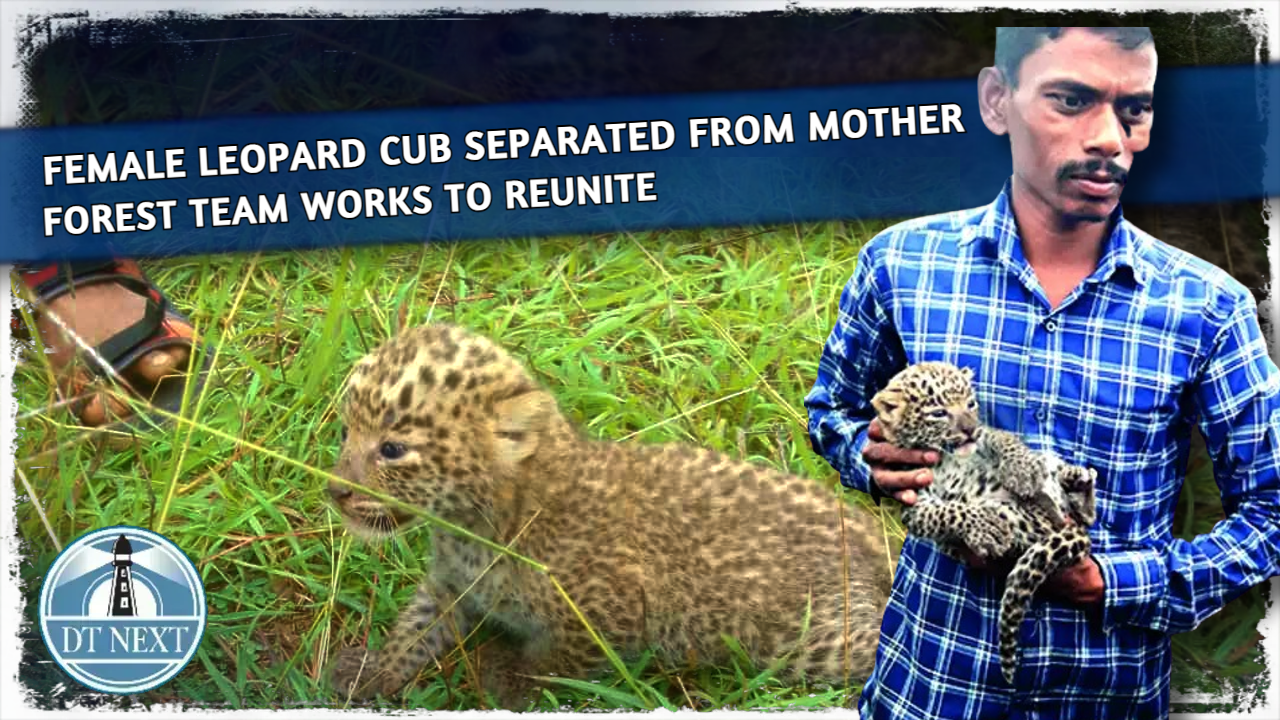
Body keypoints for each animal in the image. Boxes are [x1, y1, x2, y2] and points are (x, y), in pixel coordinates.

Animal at [324, 322, 899, 709]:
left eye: (392, 449)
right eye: (347, 431)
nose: (335, 492)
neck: (476, 526)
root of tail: (871, 538)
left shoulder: (606, 614)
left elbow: (556, 665)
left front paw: (509, 682)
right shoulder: (451, 586)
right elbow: (414, 628)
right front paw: (372, 673)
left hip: (815, 640)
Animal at [869, 361, 1098, 685]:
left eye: (970, 404)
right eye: (938, 413)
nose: (969, 429)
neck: (948, 459)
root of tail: (1059, 523)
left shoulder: (986, 437)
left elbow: (1001, 437)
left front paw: (1021, 468)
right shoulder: (914, 505)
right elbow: (945, 513)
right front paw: (983, 525)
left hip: (1056, 494)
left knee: (1073, 499)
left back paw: (1076, 482)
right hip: (1024, 522)